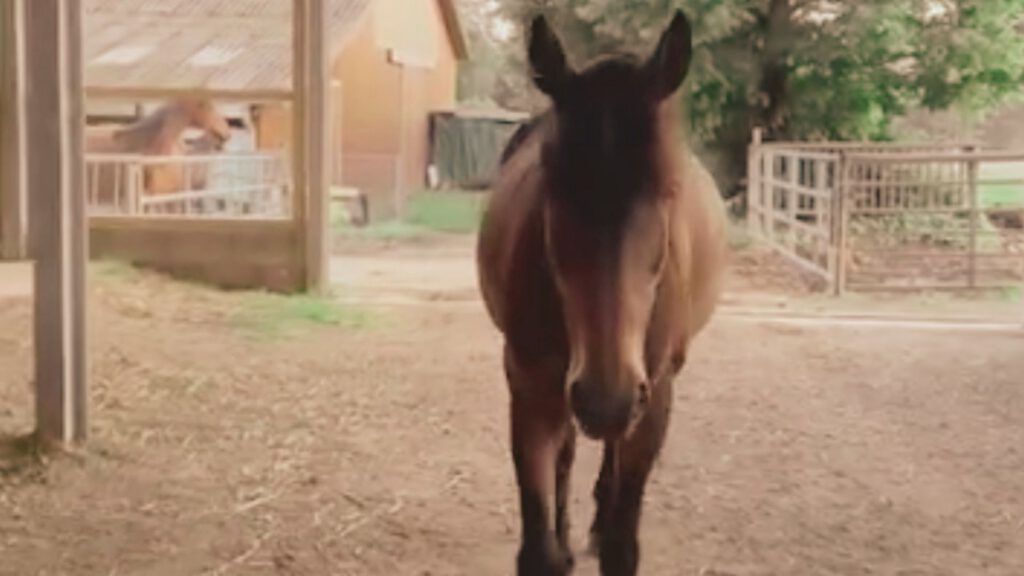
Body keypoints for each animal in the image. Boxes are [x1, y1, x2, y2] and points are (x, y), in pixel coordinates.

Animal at [476, 10, 727, 576]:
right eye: (551, 187)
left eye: (668, 191)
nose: (605, 397)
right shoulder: (530, 388)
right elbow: (539, 548)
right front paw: (559, 543)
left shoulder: (653, 396)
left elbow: (621, 544)